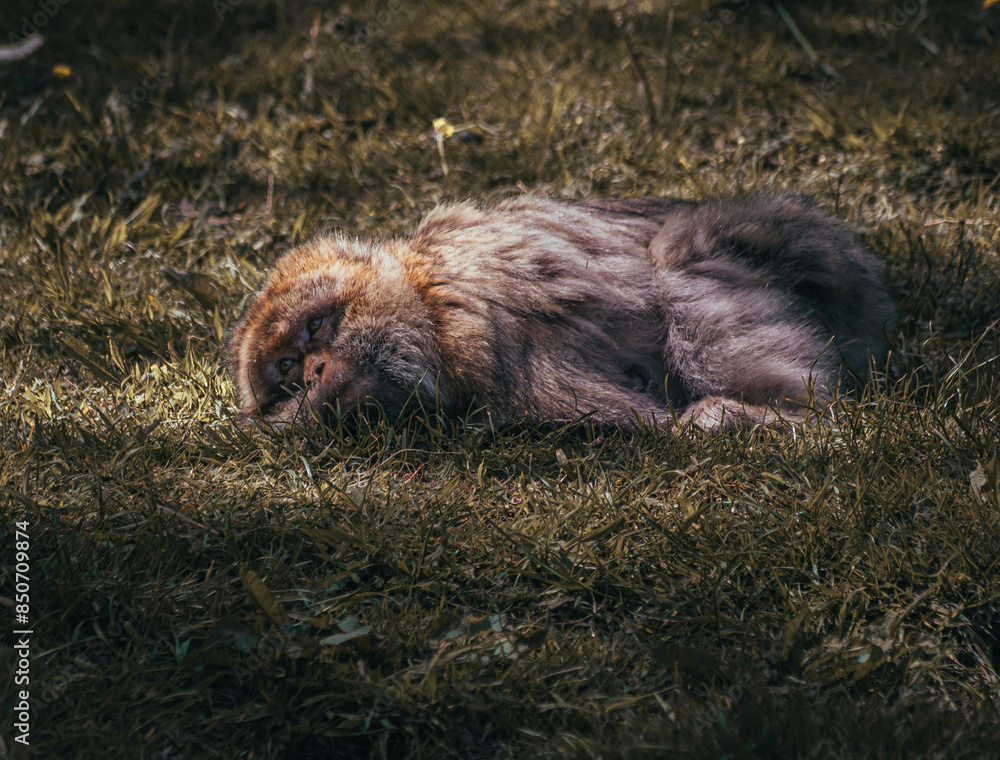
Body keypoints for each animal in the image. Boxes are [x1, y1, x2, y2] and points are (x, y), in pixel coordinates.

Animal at [227, 192, 896, 432]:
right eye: (286, 371)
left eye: (317, 326)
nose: (314, 371)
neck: (424, 300)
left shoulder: (474, 318)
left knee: (678, 276)